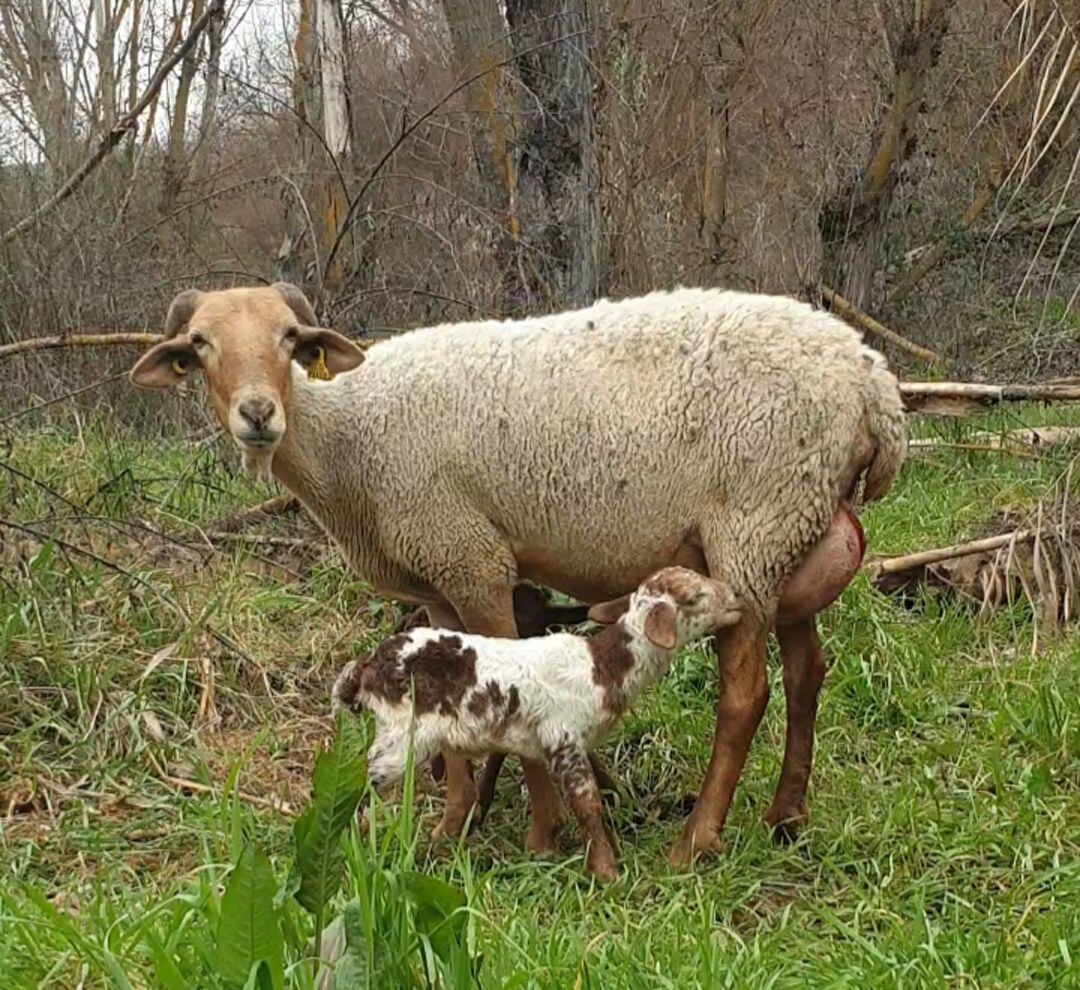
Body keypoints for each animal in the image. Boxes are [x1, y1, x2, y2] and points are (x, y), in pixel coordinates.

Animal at [130, 280, 907, 863]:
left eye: (291, 338)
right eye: (199, 345)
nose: (257, 414)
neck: (347, 435)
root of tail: (874, 380)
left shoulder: (473, 559)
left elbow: (515, 693)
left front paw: (541, 834)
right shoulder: (437, 581)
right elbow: (441, 706)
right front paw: (450, 824)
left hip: (752, 524)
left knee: (746, 693)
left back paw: (695, 841)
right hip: (794, 532)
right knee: (808, 674)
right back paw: (785, 817)